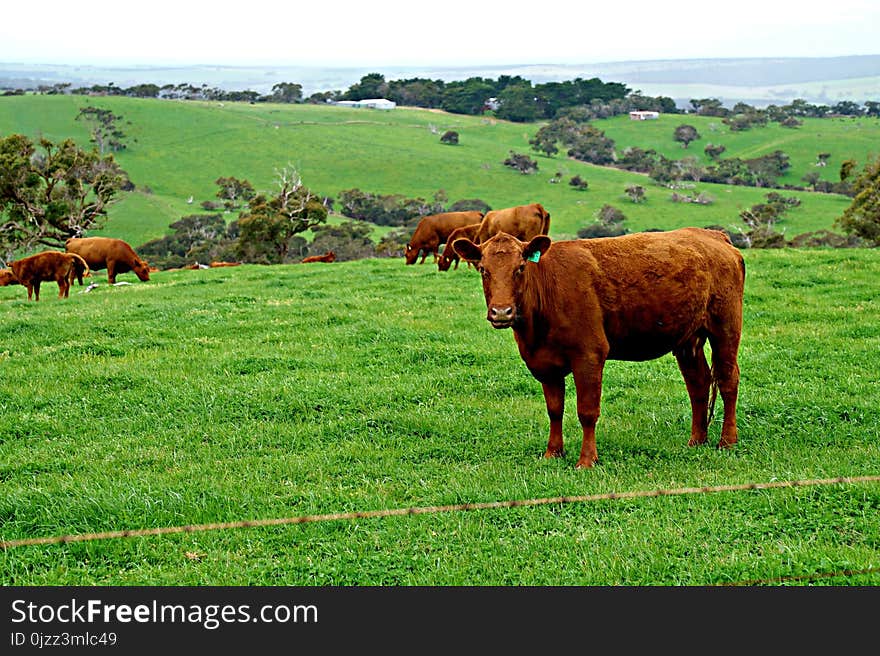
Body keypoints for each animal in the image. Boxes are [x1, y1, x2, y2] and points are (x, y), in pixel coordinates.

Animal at [458, 228, 744, 468]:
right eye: (483, 269)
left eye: (520, 268)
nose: (501, 312)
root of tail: (714, 235)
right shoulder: (545, 364)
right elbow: (554, 410)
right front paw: (553, 452)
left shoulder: (589, 355)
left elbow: (587, 411)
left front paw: (587, 460)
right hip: (688, 339)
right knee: (699, 384)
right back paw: (697, 439)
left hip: (726, 328)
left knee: (728, 381)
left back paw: (727, 441)